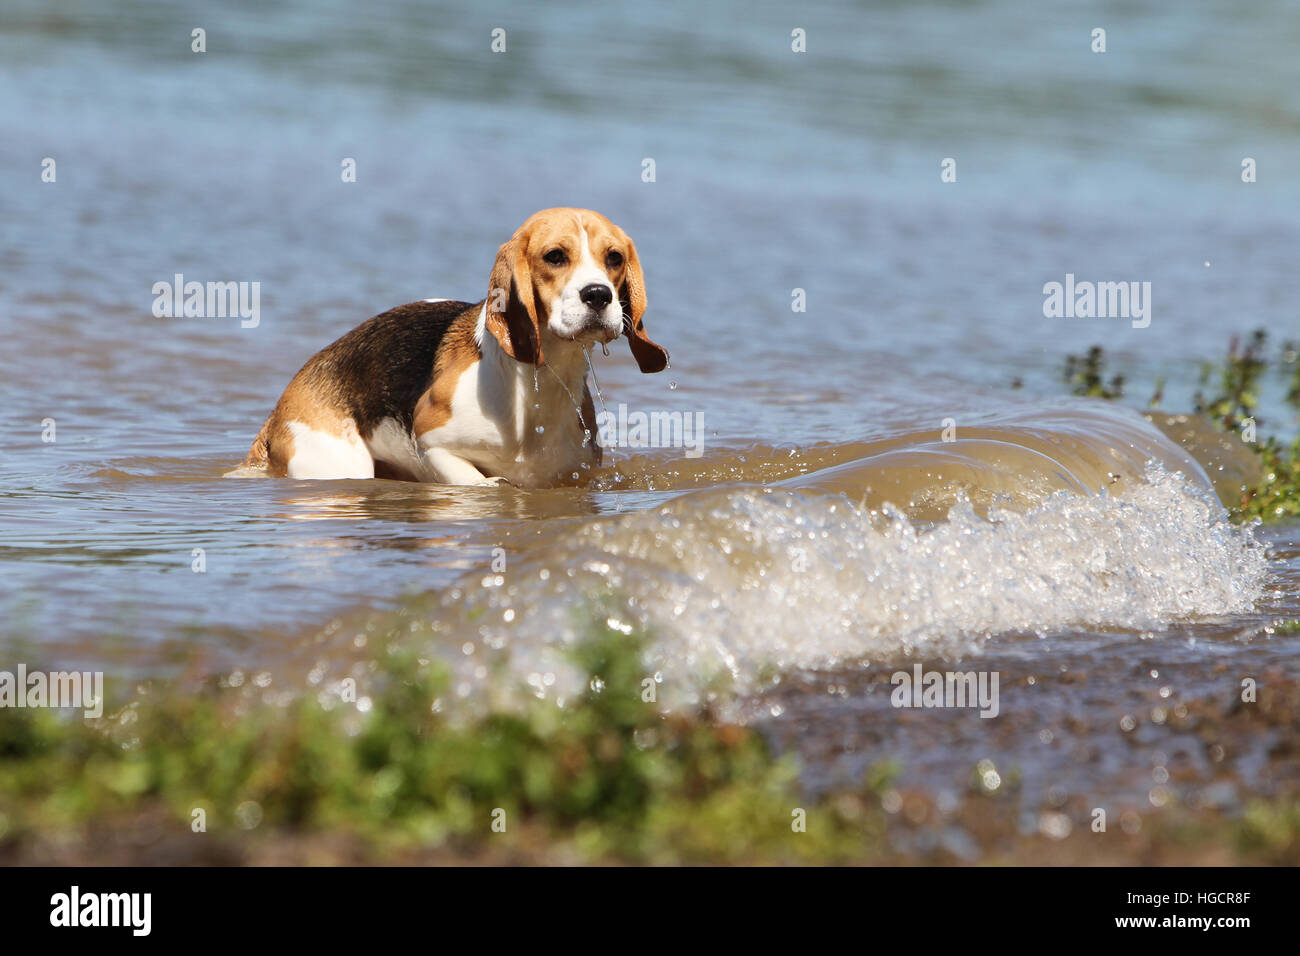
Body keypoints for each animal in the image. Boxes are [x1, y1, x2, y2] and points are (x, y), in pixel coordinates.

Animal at [233, 212, 665, 489]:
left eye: (614, 258)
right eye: (555, 256)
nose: (599, 295)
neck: (535, 387)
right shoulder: (432, 442)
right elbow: (477, 480)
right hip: (340, 463)